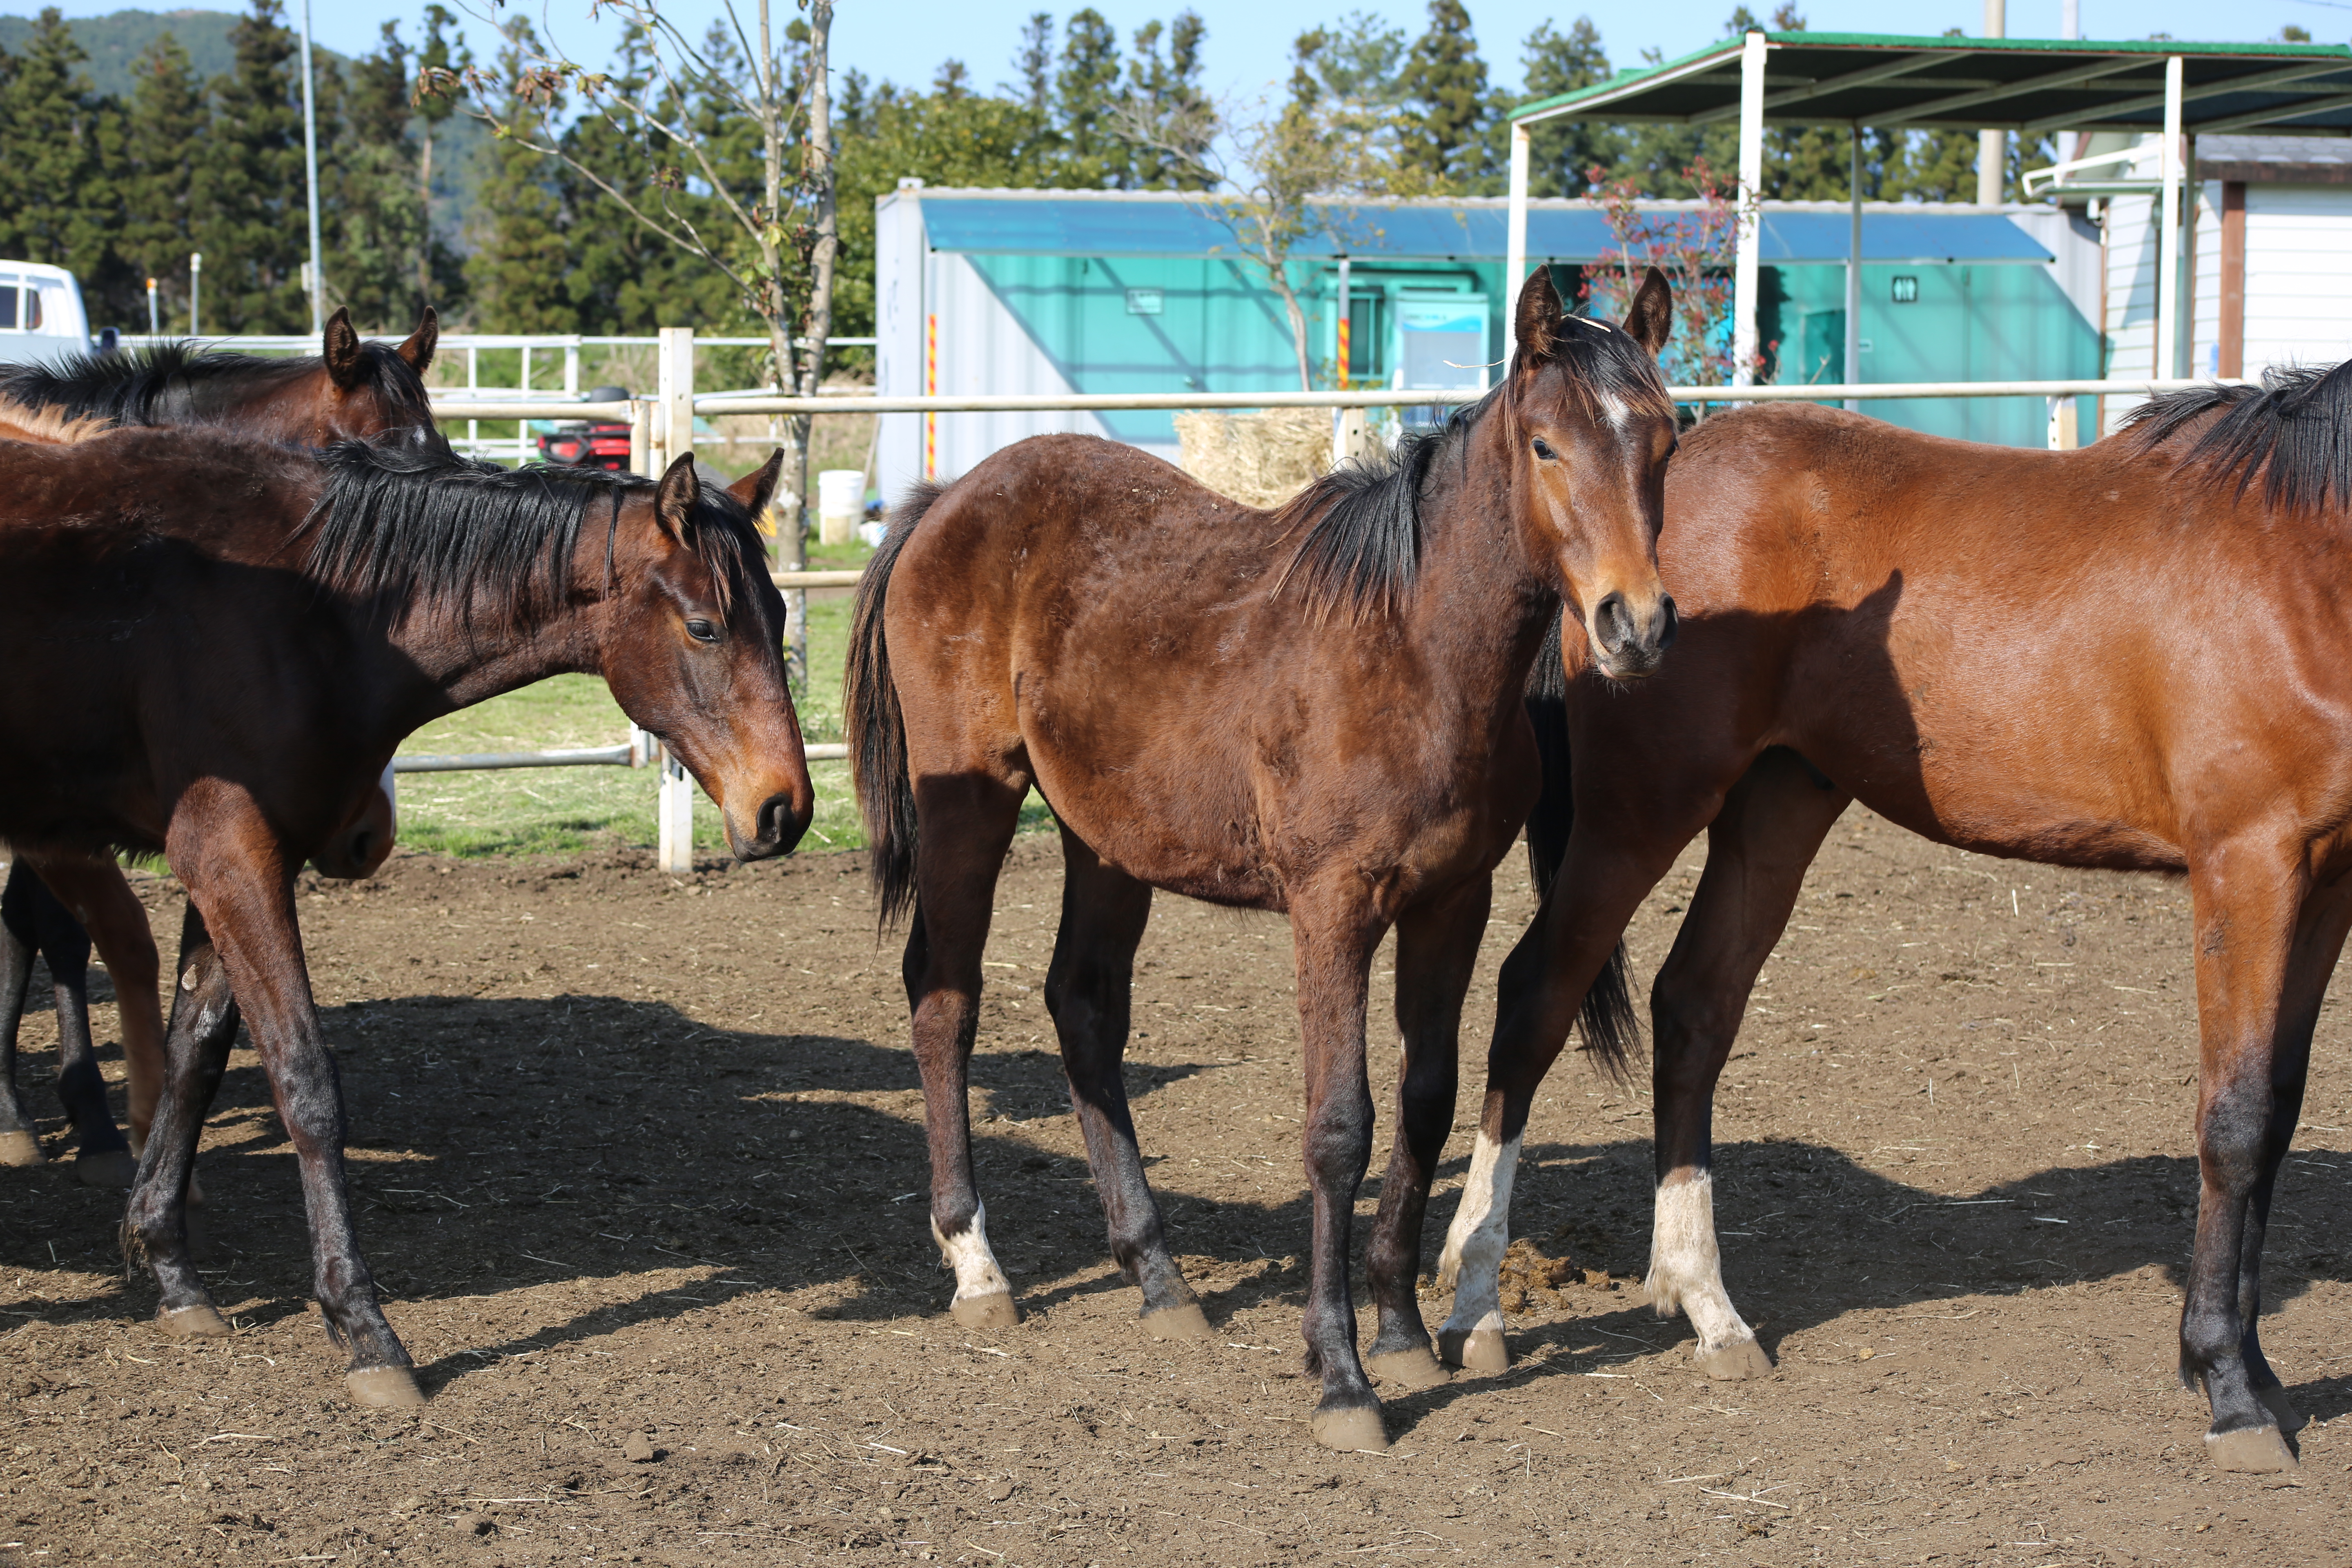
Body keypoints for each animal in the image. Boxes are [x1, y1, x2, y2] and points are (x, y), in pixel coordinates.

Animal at [0, 430, 813, 1410]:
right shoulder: (229, 856)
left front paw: (170, 1270)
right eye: (704, 627)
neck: (312, 611)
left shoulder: (242, 865)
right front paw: (364, 1328)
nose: (785, 810)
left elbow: (196, 1054)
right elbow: (305, 1081)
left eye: (780, 613)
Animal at [846, 272, 1693, 1457]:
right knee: (945, 998)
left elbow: (1425, 1103)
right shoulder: (1331, 910)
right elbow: (1340, 1127)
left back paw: (1157, 1276)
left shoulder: (1451, 904)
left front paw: (1400, 1329)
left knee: (1082, 1007)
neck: (1410, 647)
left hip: (1107, 839)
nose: (1635, 624)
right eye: (1546, 446)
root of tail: (947, 500)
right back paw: (977, 1267)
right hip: (971, 804)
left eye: (1664, 440)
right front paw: (1340, 1373)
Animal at [1421, 364, 2352, 1476]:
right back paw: (1475, 1306)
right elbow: (2237, 1121)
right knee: (1535, 1000)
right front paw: (2227, 1386)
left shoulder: (2328, 878)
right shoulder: (2247, 864)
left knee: (1694, 1008)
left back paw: (1708, 1307)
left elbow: (2280, 1112)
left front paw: (2253, 1371)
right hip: (1637, 815)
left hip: (1780, 801)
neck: (2304, 562)